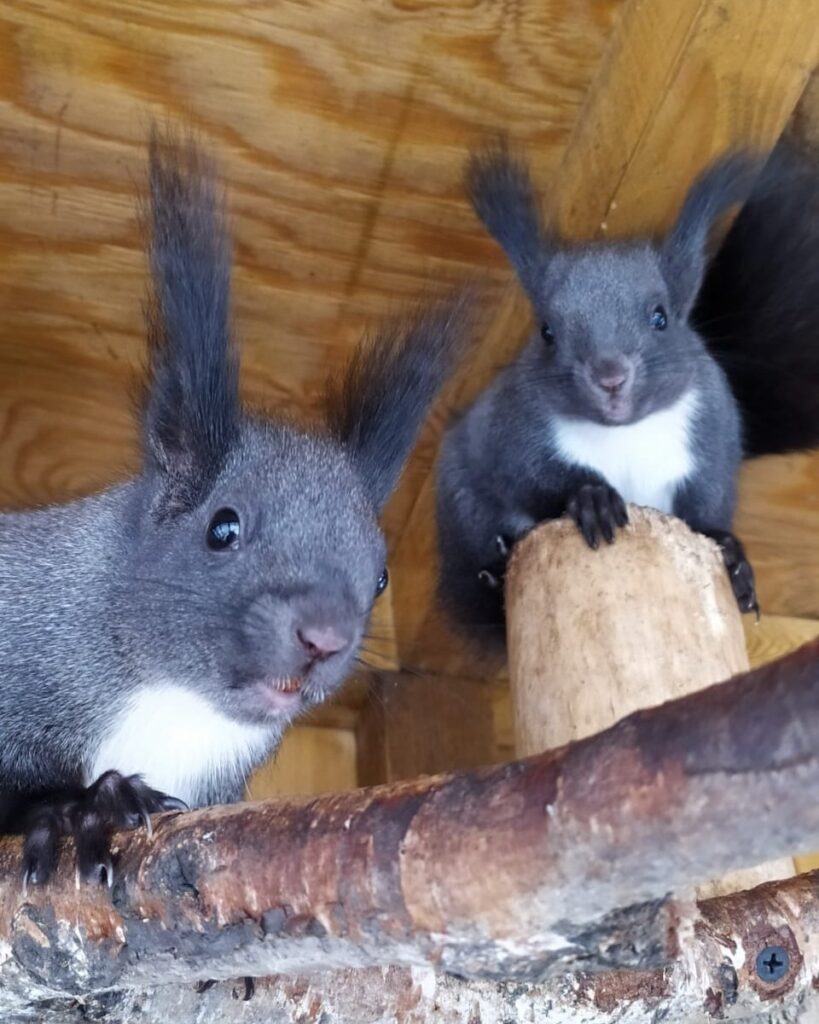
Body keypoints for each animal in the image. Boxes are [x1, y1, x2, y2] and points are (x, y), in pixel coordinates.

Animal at [436, 138, 819, 650]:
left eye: (661, 317)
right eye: (547, 331)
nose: (610, 376)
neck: (625, 434)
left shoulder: (713, 431)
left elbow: (709, 502)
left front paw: (734, 558)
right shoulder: (509, 430)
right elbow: (530, 476)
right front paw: (591, 499)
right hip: (463, 508)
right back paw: (495, 571)